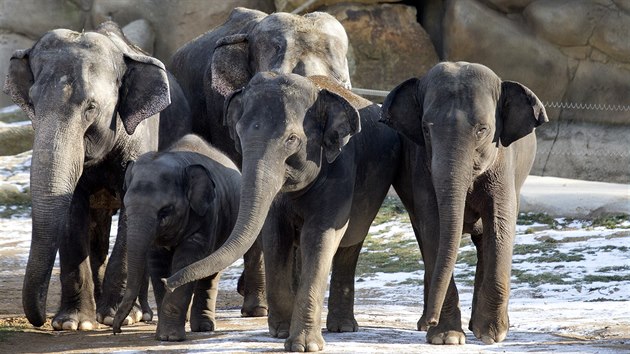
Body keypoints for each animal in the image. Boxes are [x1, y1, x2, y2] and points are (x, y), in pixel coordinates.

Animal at [2, 21, 191, 332]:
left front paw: (116, 317)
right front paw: (73, 323)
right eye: (32, 103)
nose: (39, 320)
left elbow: (133, 211)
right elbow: (72, 211)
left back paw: (140, 314)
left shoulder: (142, 137)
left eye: (91, 107)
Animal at [113, 134, 242, 342]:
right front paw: (162, 335)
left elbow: (187, 259)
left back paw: (203, 327)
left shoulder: (206, 215)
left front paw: (169, 337)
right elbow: (157, 263)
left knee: (210, 274)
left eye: (165, 211)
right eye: (126, 204)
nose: (117, 330)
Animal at [163, 72, 408, 352]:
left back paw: (343, 328)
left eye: (291, 139)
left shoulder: (341, 170)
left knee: (350, 245)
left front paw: (303, 346)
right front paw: (280, 332)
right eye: (239, 134)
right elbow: (274, 236)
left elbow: (319, 236)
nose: (166, 282)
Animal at [380, 62, 548, 344]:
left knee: (484, 242)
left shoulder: (503, 164)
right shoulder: (421, 168)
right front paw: (446, 337)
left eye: (482, 130)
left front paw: (493, 334)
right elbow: (435, 228)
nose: (431, 319)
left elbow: (500, 224)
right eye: (426, 129)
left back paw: (478, 327)